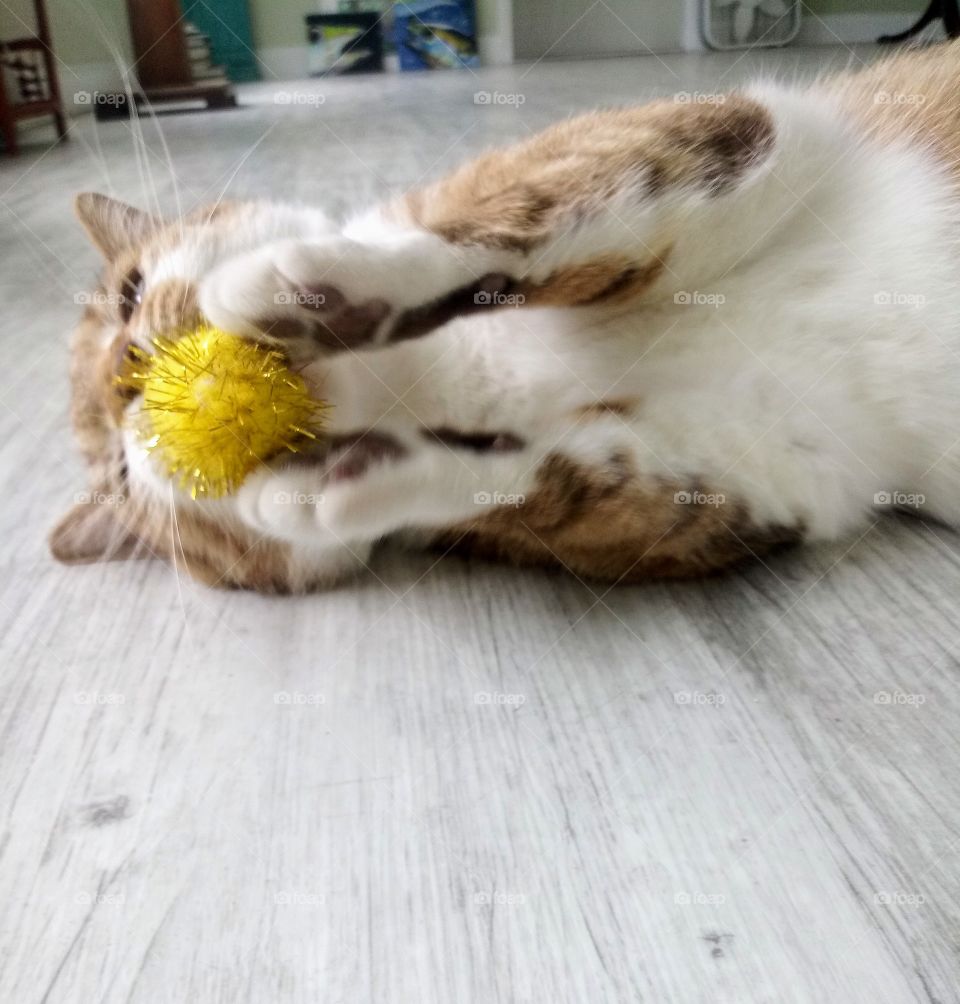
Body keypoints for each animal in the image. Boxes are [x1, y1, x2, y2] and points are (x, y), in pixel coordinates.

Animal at [48, 45, 960, 594]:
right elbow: (541, 482)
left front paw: (315, 290)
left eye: (130, 290)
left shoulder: (736, 139)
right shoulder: (755, 471)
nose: (126, 378)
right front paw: (320, 492)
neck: (438, 377)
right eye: (123, 478)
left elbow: (504, 222)